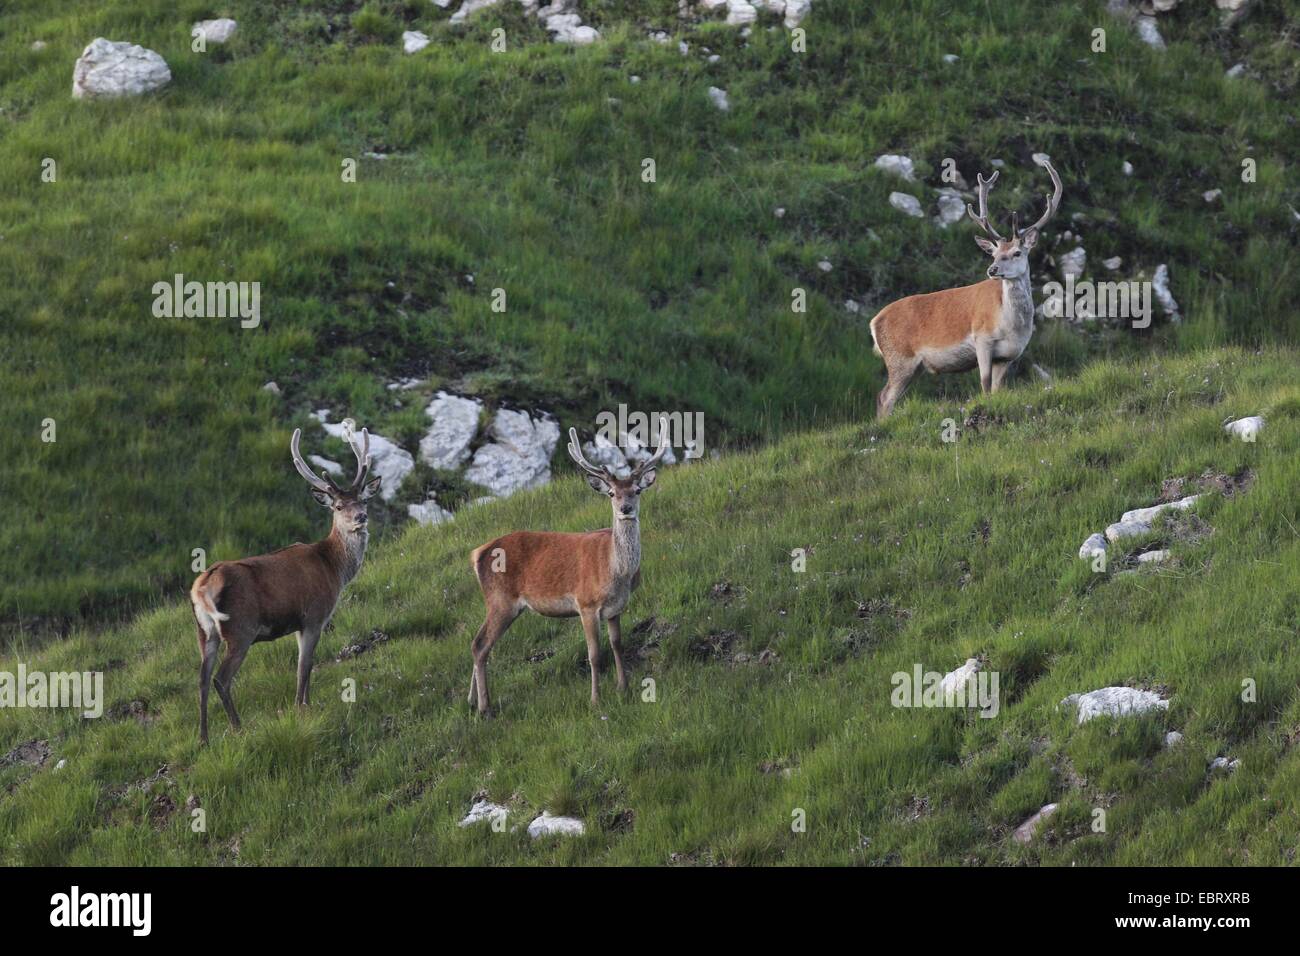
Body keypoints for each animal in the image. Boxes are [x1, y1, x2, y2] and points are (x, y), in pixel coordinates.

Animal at [189, 426, 379, 749]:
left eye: (363, 501)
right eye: (339, 505)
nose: (360, 518)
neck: (334, 568)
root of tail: (202, 587)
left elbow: (304, 667)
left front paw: (302, 706)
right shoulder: (313, 617)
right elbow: (304, 666)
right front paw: (303, 709)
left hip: (205, 631)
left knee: (201, 678)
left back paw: (203, 739)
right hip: (240, 629)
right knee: (220, 679)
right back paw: (238, 728)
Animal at [467, 421, 670, 717]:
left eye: (637, 490)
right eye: (612, 493)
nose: (625, 508)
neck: (617, 573)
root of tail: (477, 553)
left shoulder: (616, 608)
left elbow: (617, 645)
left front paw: (623, 687)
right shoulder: (586, 603)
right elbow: (594, 655)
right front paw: (596, 699)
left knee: (475, 642)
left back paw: (471, 701)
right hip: (500, 600)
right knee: (481, 645)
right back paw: (485, 708)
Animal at [868, 156, 1060, 418]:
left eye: (1017, 252)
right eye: (994, 254)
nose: (992, 270)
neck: (1012, 326)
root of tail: (874, 322)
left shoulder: (1008, 355)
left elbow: (998, 389)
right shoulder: (982, 338)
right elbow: (985, 384)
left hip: (912, 365)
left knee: (885, 396)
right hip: (899, 357)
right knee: (884, 397)